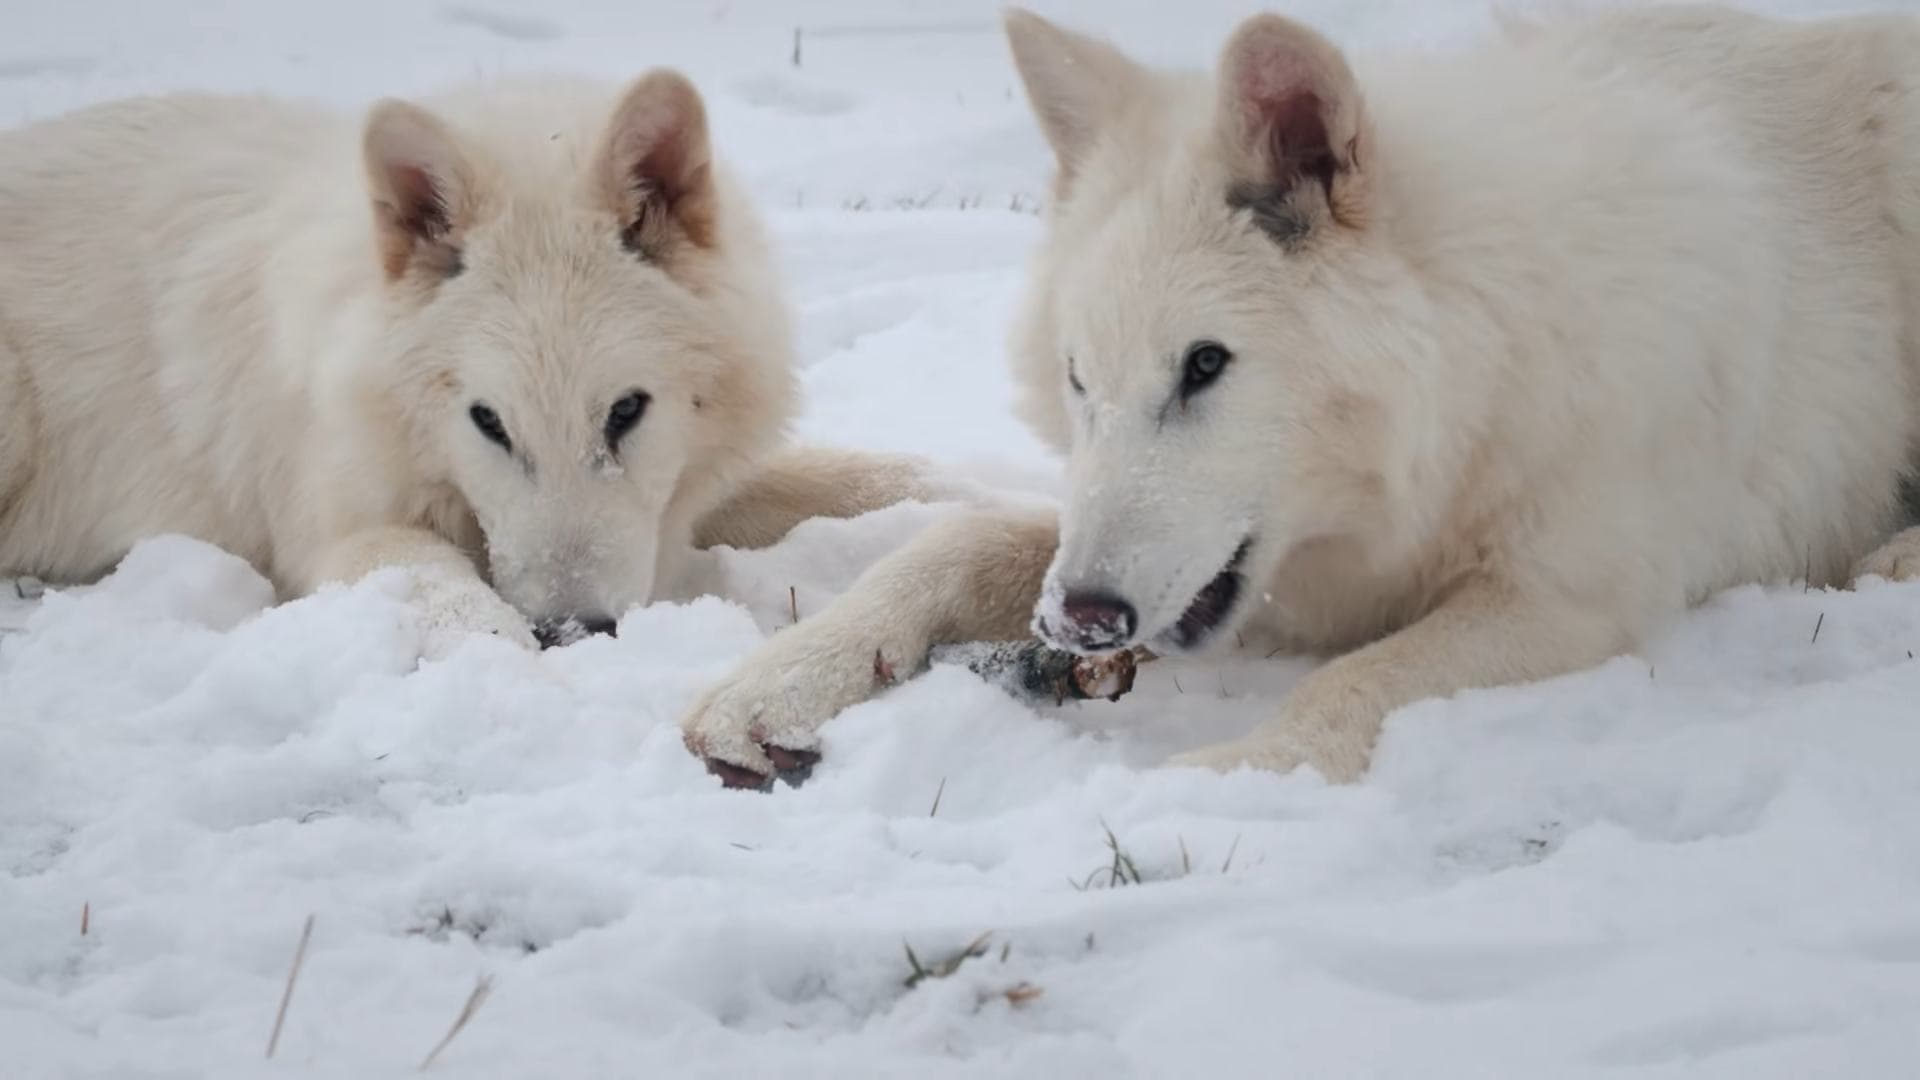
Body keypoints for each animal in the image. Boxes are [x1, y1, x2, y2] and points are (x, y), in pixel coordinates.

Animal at [0, 71, 947, 656]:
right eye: (489, 423)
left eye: (626, 412)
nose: (574, 634)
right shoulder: (336, 535)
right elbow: (459, 600)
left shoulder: (688, 488)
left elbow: (872, 478)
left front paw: (970, 493)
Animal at [682, 3, 1920, 788]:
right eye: (1080, 380)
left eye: (1206, 365)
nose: (1082, 622)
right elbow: (955, 539)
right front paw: (779, 677)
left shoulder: (1569, 599)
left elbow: (1358, 682)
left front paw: (1228, 783)